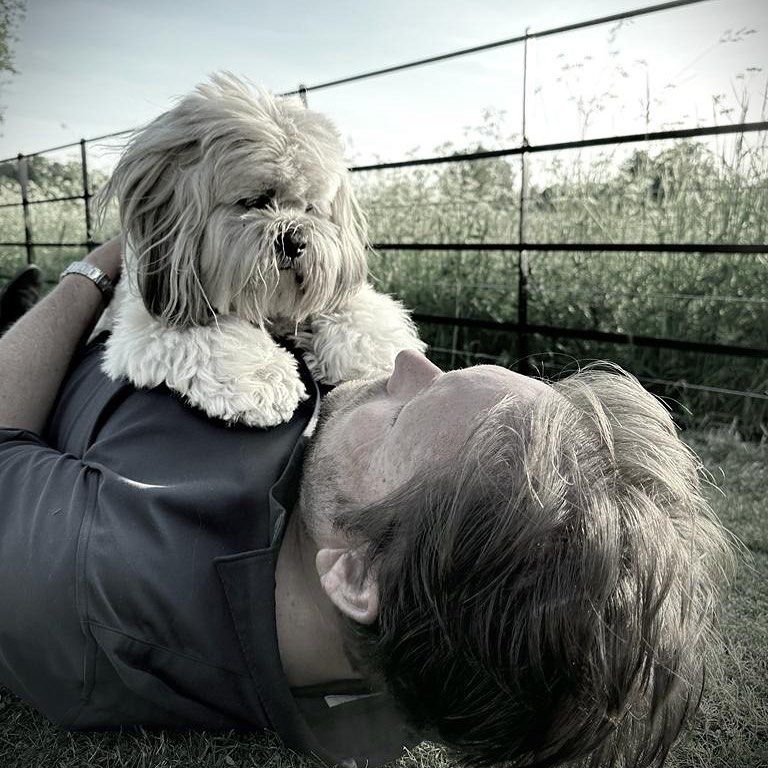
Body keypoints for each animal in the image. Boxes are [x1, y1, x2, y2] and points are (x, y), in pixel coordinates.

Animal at [96, 73, 426, 428]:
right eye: (256, 201)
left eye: (310, 207)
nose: (295, 241)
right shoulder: (146, 320)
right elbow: (210, 334)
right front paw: (264, 380)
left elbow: (355, 308)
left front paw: (375, 357)